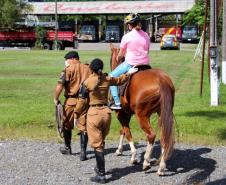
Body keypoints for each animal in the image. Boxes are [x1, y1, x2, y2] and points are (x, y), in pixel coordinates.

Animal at [109, 43, 175, 175]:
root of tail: (161, 80)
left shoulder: (120, 114)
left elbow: (127, 132)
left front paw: (133, 157)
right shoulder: (126, 114)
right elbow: (123, 131)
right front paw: (119, 150)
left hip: (142, 116)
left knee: (151, 135)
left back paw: (146, 162)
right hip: (163, 113)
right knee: (164, 136)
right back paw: (161, 167)